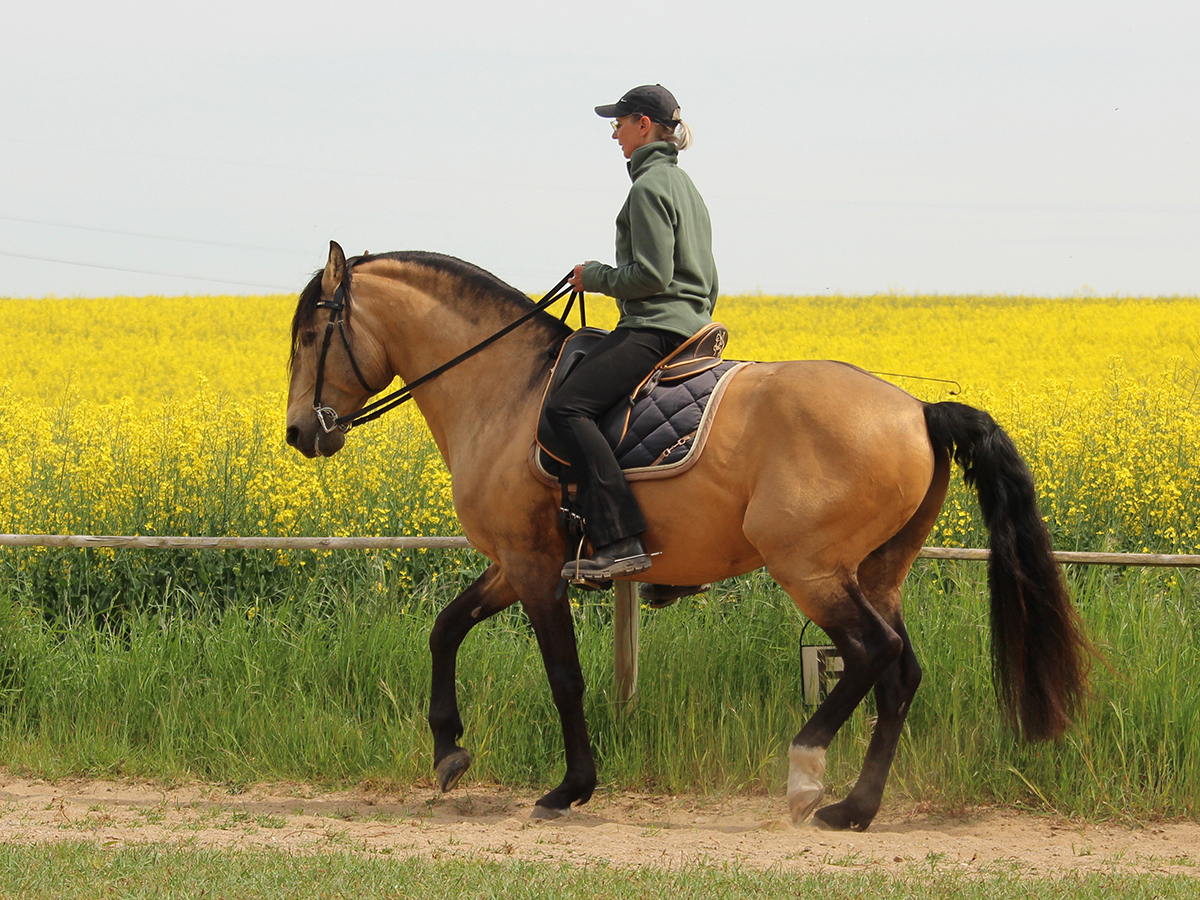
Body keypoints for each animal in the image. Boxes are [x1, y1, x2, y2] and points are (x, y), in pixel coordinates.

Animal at [285, 241, 1088, 831]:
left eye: (311, 336)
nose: (299, 433)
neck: (505, 390)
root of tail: (917, 409)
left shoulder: (535, 568)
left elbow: (563, 677)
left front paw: (569, 789)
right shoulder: (516, 564)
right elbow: (446, 628)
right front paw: (449, 750)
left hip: (811, 568)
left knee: (872, 654)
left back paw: (806, 773)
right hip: (876, 571)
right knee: (901, 673)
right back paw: (854, 809)